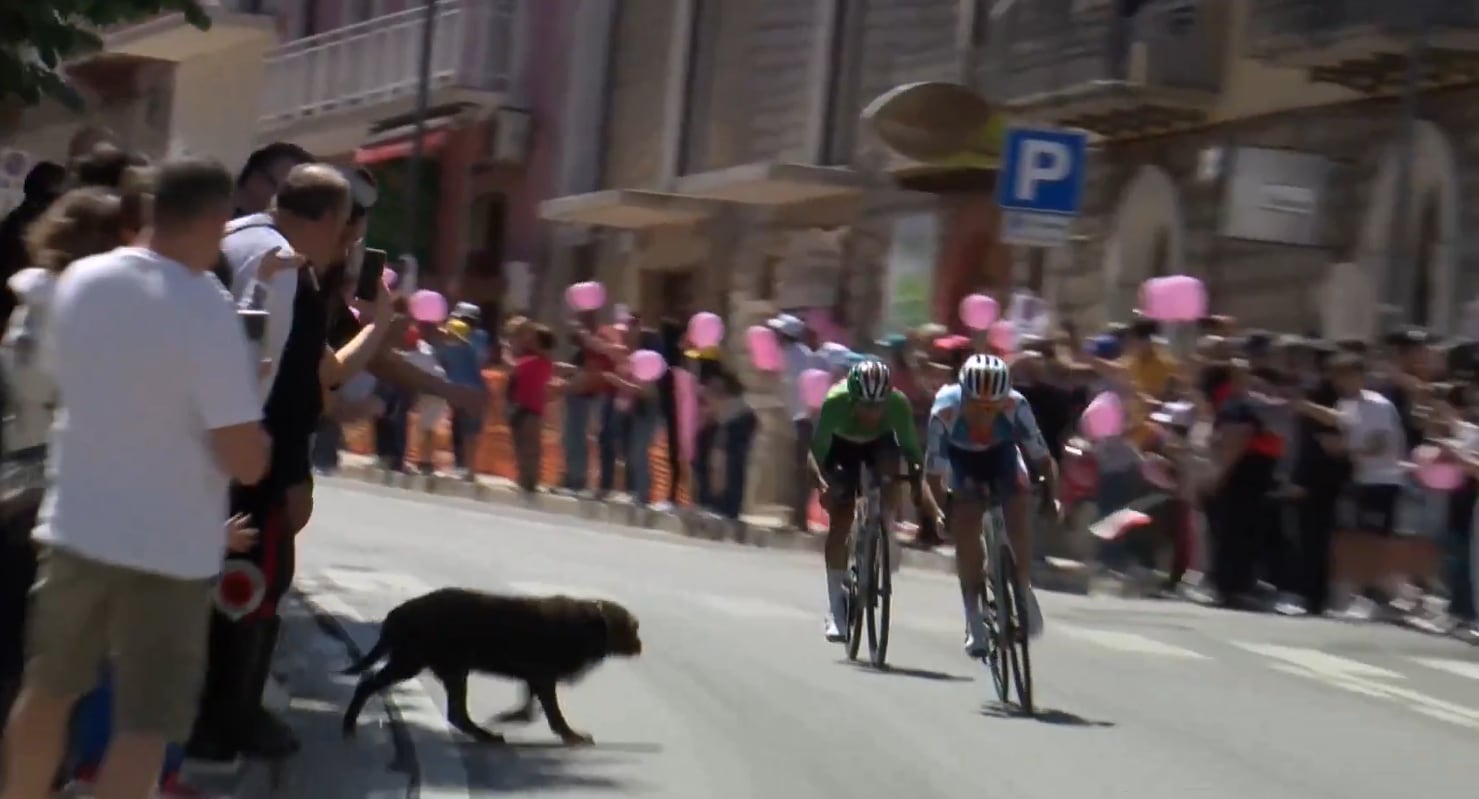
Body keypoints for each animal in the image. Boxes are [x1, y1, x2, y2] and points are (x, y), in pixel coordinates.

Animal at [340, 585, 641, 742]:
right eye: (633, 628)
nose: (641, 647)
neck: (589, 625)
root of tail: (396, 614)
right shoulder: (543, 675)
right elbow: (552, 712)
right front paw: (571, 735)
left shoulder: (535, 675)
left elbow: (529, 704)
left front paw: (514, 716)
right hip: (414, 660)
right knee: (370, 684)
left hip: (440, 665)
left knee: (457, 713)